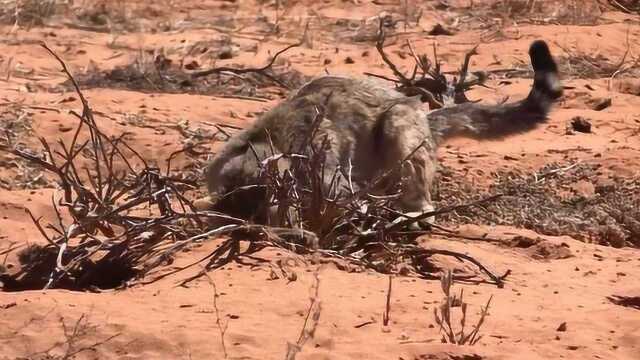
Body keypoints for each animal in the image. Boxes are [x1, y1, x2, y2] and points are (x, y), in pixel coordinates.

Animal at [198, 40, 564, 228]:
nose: (267, 222)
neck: (263, 142)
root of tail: (423, 115)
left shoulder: (328, 171)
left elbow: (344, 199)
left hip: (399, 130)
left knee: (422, 200)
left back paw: (407, 212)